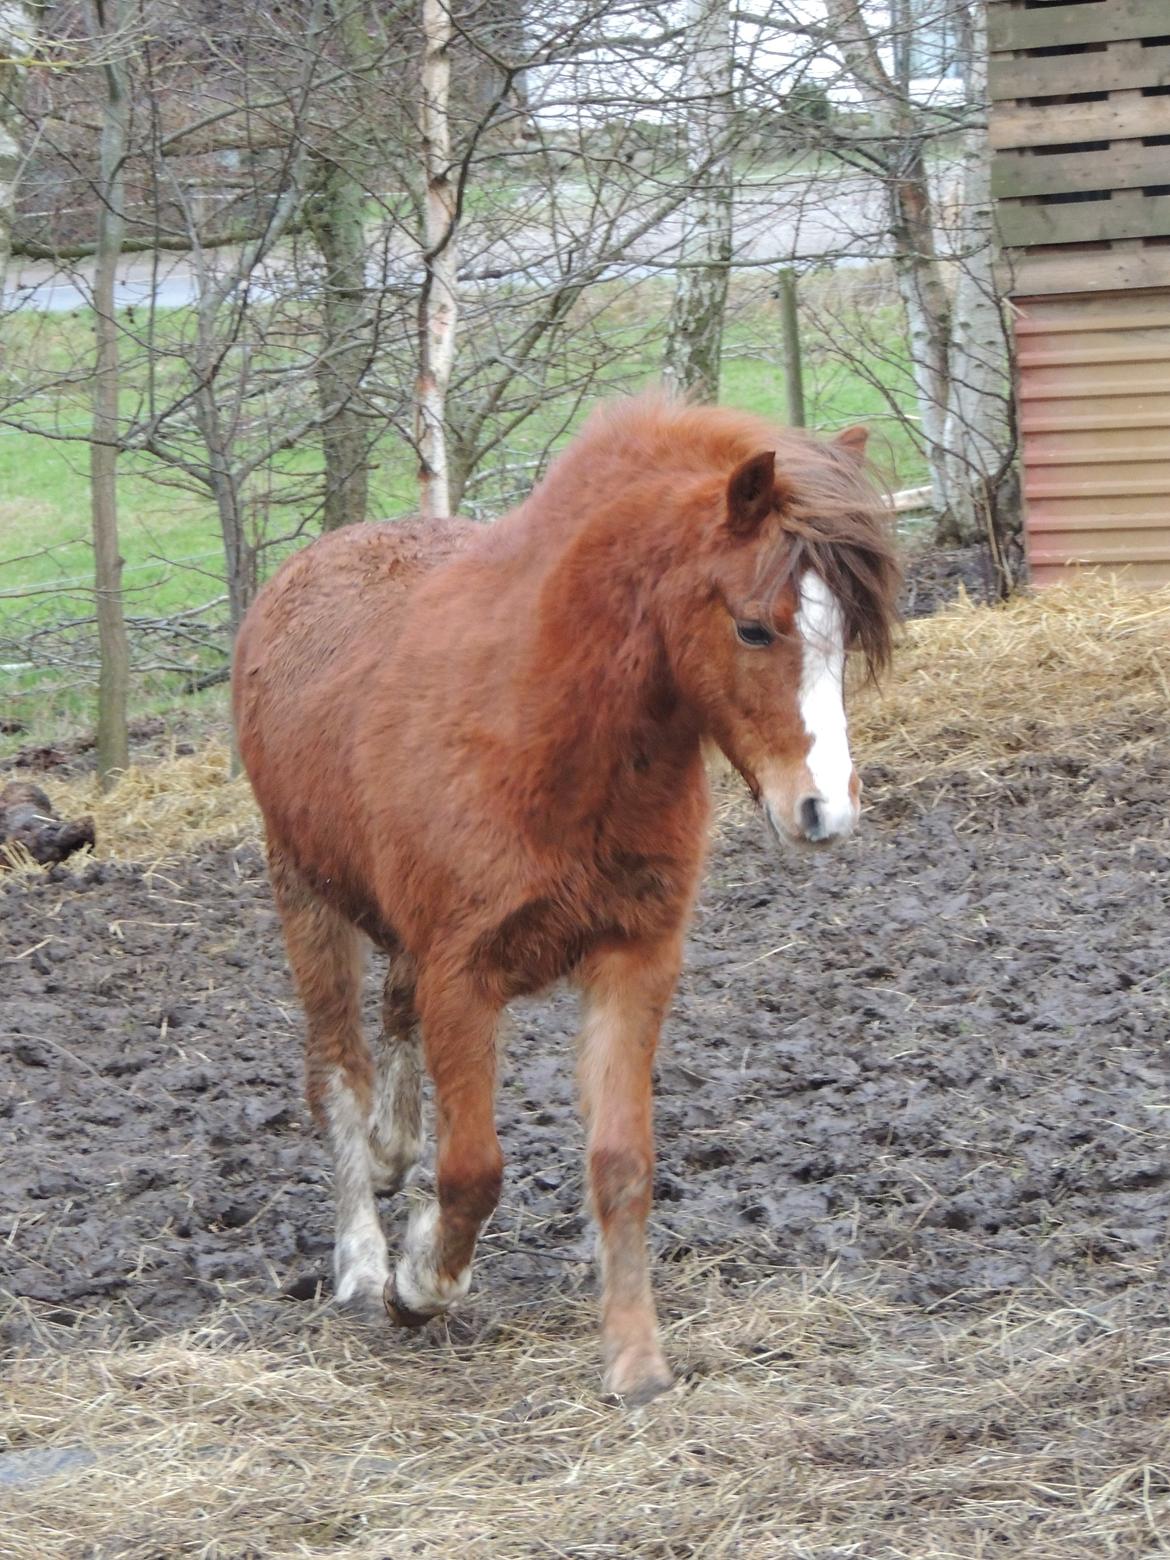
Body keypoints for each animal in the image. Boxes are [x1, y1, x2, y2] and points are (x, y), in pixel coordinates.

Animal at [232, 394, 900, 1403]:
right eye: (753, 628)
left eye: (848, 633)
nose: (825, 809)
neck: (543, 727)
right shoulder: (465, 977)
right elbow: (474, 1169)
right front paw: (417, 1284)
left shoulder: (633, 959)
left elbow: (622, 1163)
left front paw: (635, 1359)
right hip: (305, 894)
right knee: (339, 1070)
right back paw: (360, 1253)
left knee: (392, 1021)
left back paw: (393, 1156)